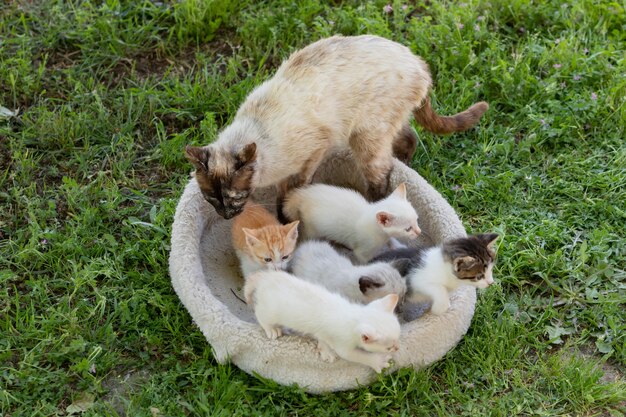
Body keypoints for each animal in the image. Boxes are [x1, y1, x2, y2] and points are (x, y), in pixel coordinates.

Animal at [184, 34, 488, 219]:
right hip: (374, 129)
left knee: (382, 174)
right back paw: (407, 162)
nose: (226, 216)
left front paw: (285, 218)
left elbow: (290, 193)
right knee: (408, 138)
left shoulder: (311, 155)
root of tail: (419, 63)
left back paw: (374, 205)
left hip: (364, 139)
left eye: (234, 198)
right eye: (211, 199)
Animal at [241, 268, 398, 372]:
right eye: (388, 348)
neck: (353, 314)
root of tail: (265, 277)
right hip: (270, 310)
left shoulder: (325, 333)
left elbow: (322, 338)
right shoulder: (343, 344)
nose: (397, 348)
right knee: (260, 314)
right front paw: (378, 361)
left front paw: (325, 350)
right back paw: (271, 329)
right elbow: (354, 355)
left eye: (397, 342)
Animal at [282, 183, 420, 262]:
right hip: (312, 229)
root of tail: (303, 193)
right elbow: (364, 260)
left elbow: (391, 240)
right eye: (408, 229)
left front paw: (398, 245)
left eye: (417, 220)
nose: (419, 232)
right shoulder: (362, 251)